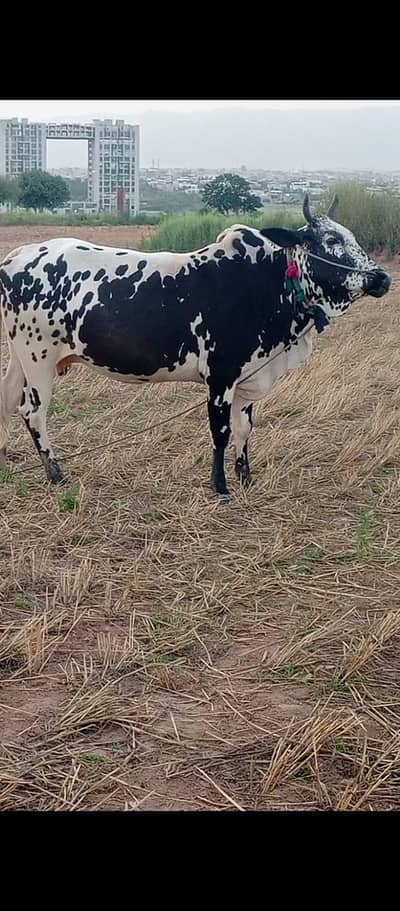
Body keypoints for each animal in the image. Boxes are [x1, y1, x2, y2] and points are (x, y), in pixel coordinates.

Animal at [0, 194, 391, 500]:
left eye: (351, 236)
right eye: (331, 239)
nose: (383, 278)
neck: (267, 282)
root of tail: (19, 254)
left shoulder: (248, 375)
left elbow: (244, 428)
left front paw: (246, 476)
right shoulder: (221, 376)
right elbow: (221, 432)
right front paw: (220, 486)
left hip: (24, 362)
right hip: (38, 360)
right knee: (33, 412)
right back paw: (56, 473)